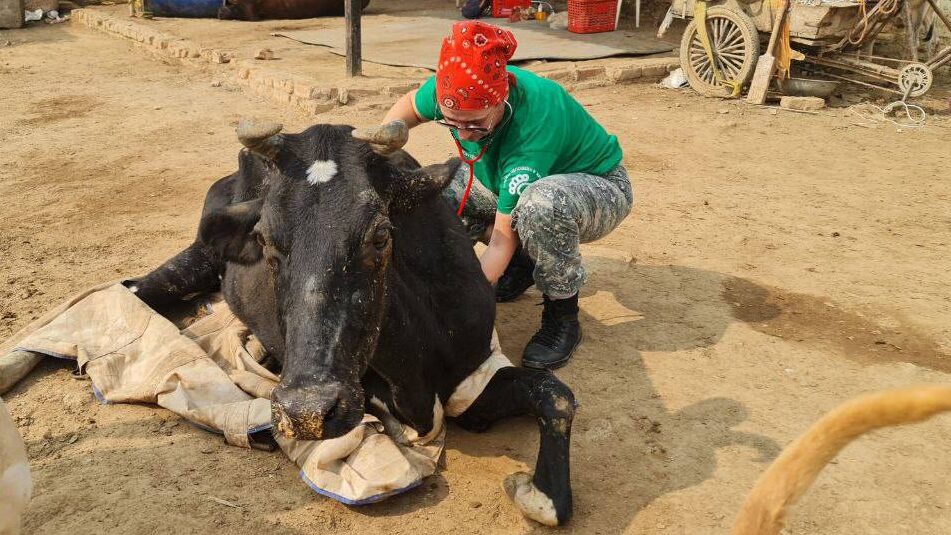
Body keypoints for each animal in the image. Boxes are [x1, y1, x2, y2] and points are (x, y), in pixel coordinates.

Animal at [127, 122, 580, 528]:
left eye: (380, 236)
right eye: (265, 241)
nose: (306, 412)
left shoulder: (473, 377)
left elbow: (554, 394)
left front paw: (539, 492)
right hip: (198, 259)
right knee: (136, 288)